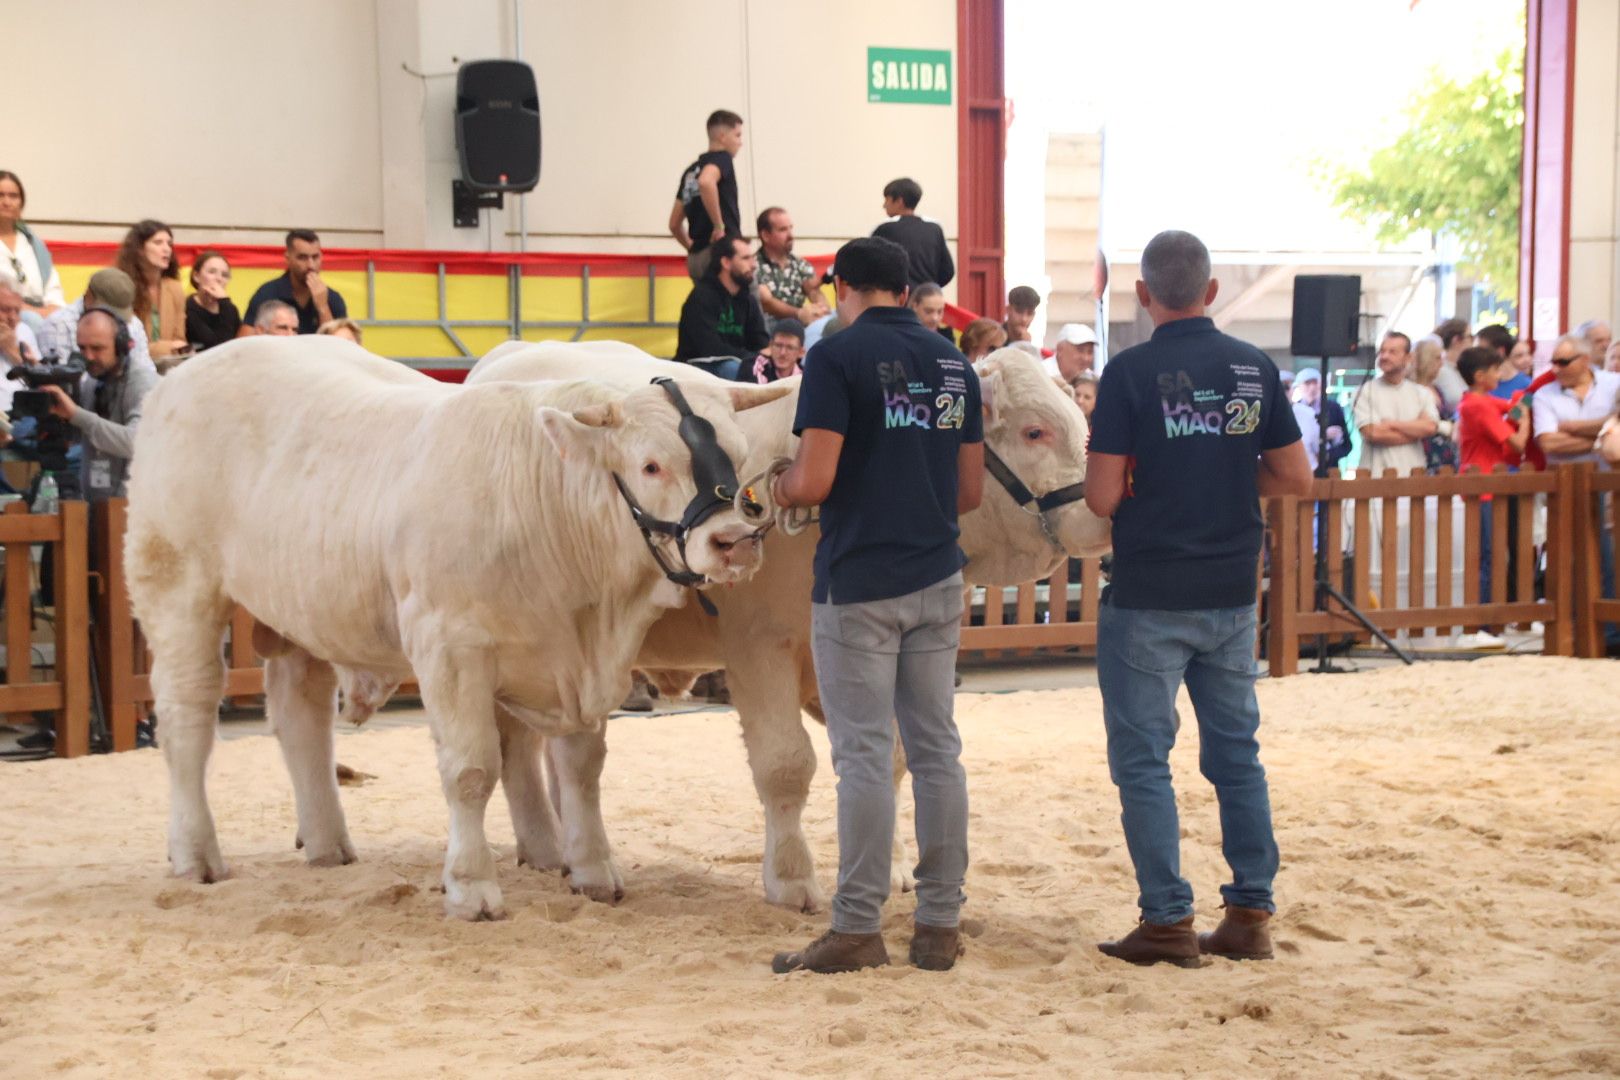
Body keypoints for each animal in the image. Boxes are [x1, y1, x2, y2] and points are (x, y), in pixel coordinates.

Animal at [124, 338, 784, 919]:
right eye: (650, 465)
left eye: (738, 453)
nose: (734, 541)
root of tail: (179, 378)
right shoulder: (447, 646)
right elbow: (470, 770)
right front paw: (471, 887)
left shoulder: (575, 660)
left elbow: (580, 767)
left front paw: (595, 871)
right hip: (176, 585)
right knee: (187, 718)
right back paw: (196, 854)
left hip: (300, 609)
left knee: (300, 717)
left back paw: (328, 844)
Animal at [463, 341, 1108, 906]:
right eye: (1035, 431)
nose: (1104, 511)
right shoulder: (759, 648)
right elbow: (785, 764)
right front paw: (793, 879)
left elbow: (892, 758)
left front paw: (892, 867)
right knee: (534, 747)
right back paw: (559, 852)